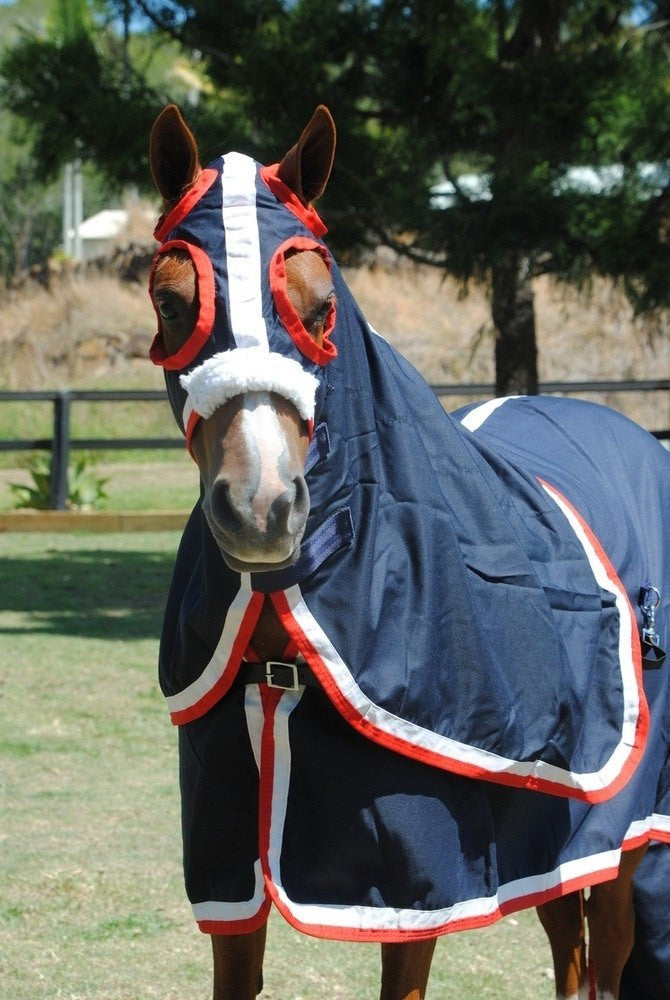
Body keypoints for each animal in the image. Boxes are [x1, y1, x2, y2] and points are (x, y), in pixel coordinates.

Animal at [148, 103, 670, 1000]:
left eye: (322, 306)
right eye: (171, 303)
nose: (262, 508)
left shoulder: (415, 888)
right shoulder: (228, 875)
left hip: (620, 832)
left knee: (603, 946)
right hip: (551, 846)